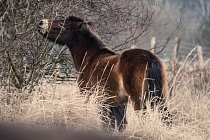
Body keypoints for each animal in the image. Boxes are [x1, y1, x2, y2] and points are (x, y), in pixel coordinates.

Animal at [37, 15, 169, 131]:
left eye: (62, 24)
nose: (41, 23)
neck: (91, 57)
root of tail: (149, 59)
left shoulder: (89, 95)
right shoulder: (116, 104)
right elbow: (117, 125)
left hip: (138, 101)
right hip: (159, 98)